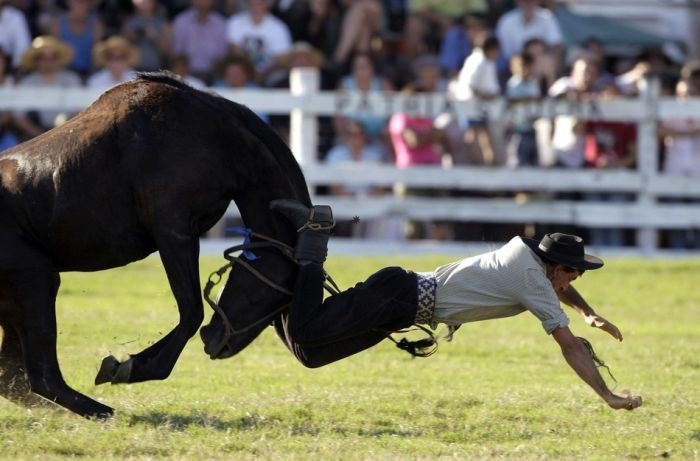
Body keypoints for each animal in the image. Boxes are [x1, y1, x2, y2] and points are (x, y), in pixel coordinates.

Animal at [0, 72, 308, 416]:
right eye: (271, 296)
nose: (217, 343)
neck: (218, 138)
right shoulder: (173, 232)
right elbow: (191, 311)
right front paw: (131, 367)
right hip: (35, 281)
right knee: (42, 377)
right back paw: (105, 412)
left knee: (13, 377)